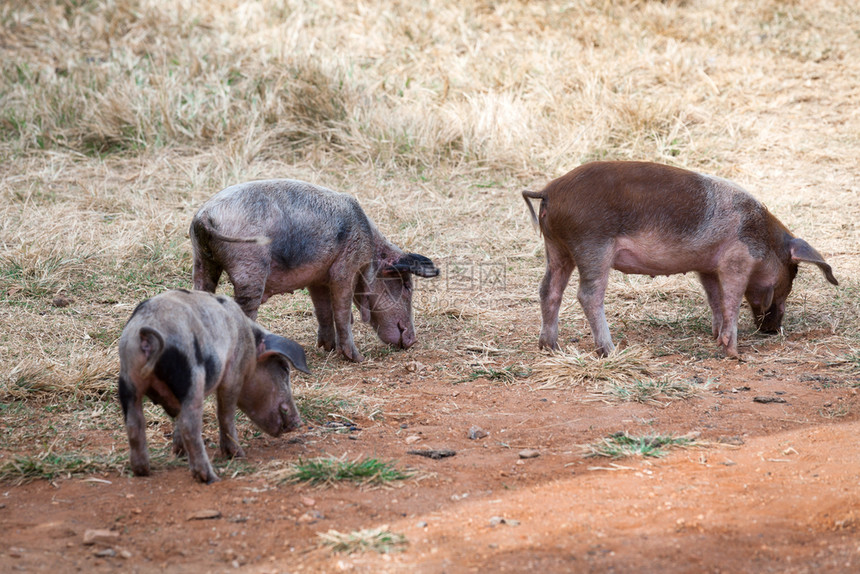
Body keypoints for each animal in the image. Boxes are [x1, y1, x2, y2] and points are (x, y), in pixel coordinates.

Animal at [118, 290, 310, 484]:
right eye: (284, 368)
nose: (298, 422)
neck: (250, 342)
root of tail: (148, 335)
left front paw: (179, 453)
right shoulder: (234, 373)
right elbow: (226, 413)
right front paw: (237, 455)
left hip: (129, 376)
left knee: (134, 423)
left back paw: (143, 471)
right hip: (191, 378)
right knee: (190, 425)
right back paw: (210, 477)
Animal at [524, 162, 840, 358]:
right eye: (793, 272)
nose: (773, 330)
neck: (765, 239)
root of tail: (550, 191)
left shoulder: (707, 266)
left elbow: (715, 298)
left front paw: (715, 336)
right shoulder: (737, 259)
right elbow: (732, 299)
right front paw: (734, 352)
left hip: (557, 247)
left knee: (548, 289)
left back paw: (550, 348)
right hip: (592, 244)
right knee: (588, 295)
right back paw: (610, 351)